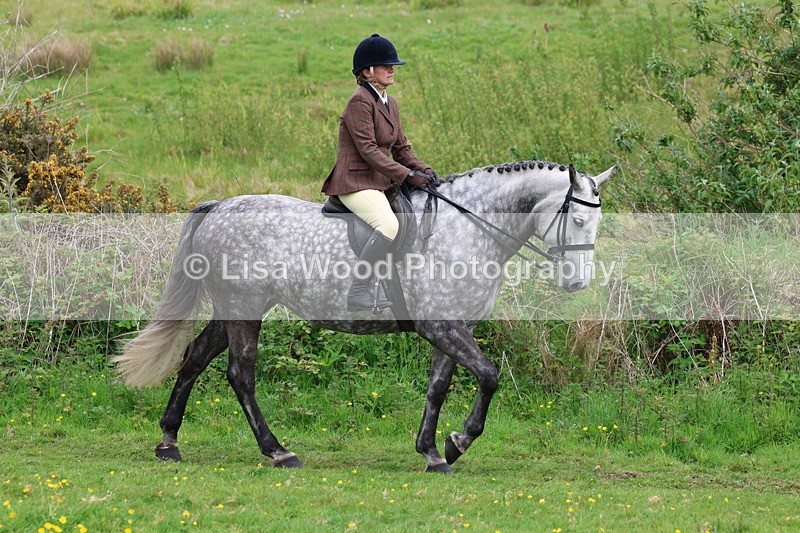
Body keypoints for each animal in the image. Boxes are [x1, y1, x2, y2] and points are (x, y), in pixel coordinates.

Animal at [112, 160, 616, 473]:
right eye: (576, 221)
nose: (577, 284)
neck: (467, 229)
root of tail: (219, 206)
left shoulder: (455, 327)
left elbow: (438, 387)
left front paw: (432, 452)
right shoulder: (441, 326)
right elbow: (489, 376)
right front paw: (457, 443)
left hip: (234, 308)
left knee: (195, 359)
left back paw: (168, 442)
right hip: (244, 307)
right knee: (241, 374)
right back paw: (278, 452)